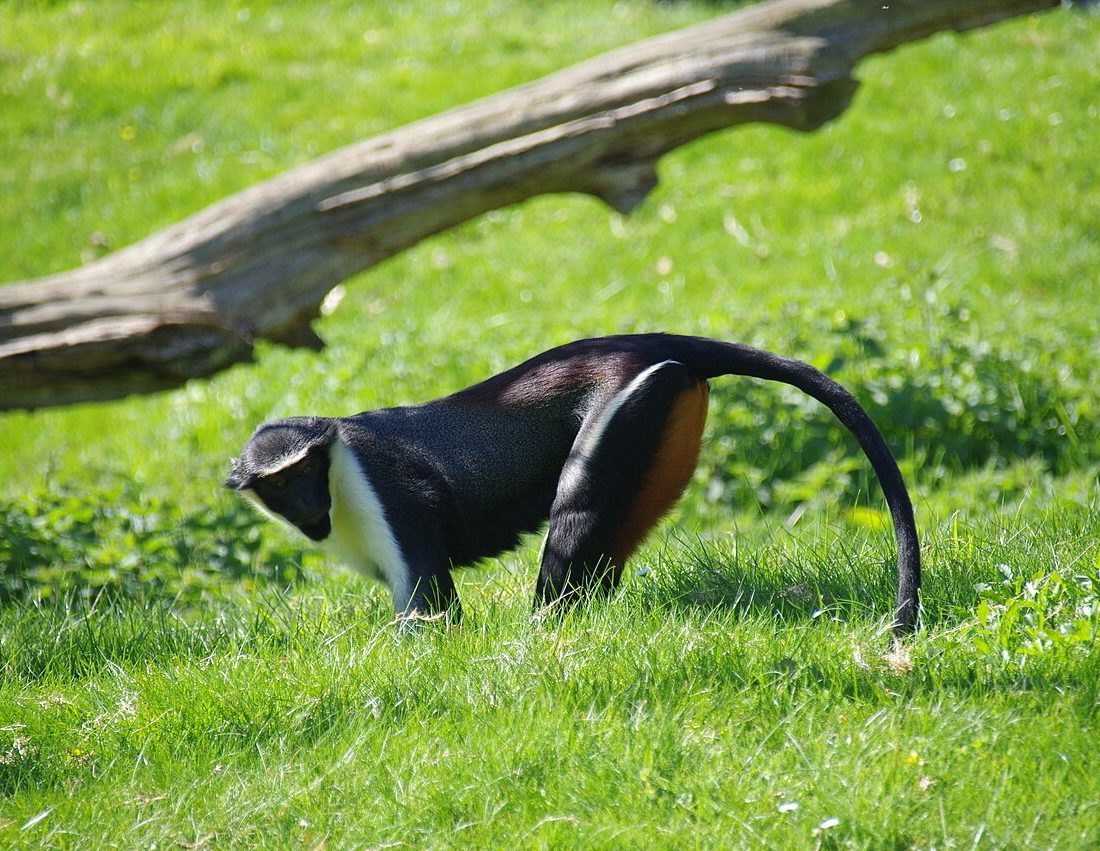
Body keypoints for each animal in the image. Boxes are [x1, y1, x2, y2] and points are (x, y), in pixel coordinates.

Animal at [226, 334, 921, 635]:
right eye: (280, 484)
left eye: (304, 470)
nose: (308, 505)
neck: (338, 463)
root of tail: (646, 341)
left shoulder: (389, 493)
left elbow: (430, 605)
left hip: (627, 411)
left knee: (577, 513)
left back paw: (542, 634)